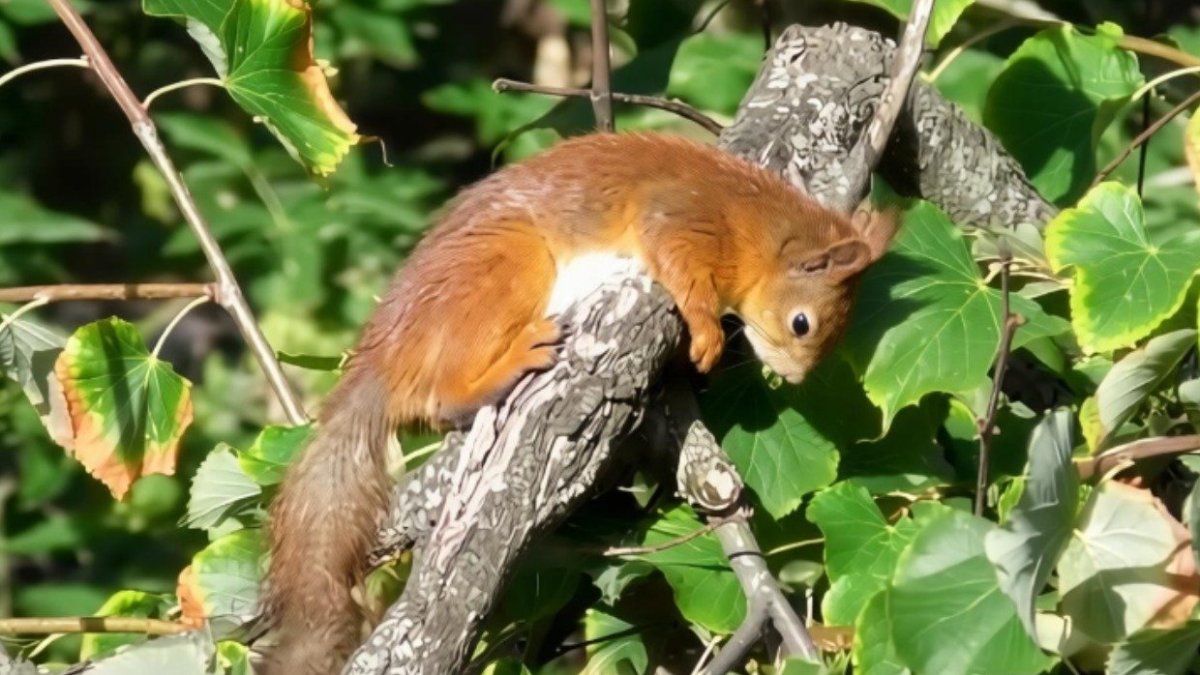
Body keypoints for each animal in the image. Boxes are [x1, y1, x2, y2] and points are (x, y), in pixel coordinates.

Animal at [264, 132, 896, 675]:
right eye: (801, 323)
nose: (792, 377)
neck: (753, 224)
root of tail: (386, 358)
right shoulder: (680, 221)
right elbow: (684, 275)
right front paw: (707, 333)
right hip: (506, 269)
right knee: (441, 395)